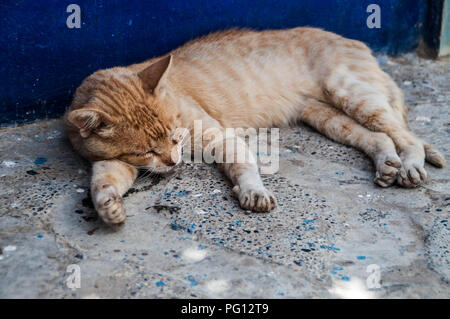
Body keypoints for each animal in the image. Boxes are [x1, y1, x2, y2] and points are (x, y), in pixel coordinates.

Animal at [65, 28, 444, 226]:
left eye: (175, 135)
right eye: (145, 150)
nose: (174, 162)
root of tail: (357, 41)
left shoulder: (218, 135)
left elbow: (243, 164)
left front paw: (253, 192)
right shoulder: (113, 161)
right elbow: (104, 181)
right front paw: (108, 206)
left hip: (352, 93)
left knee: (407, 136)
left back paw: (409, 167)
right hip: (328, 117)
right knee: (379, 137)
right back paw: (386, 165)